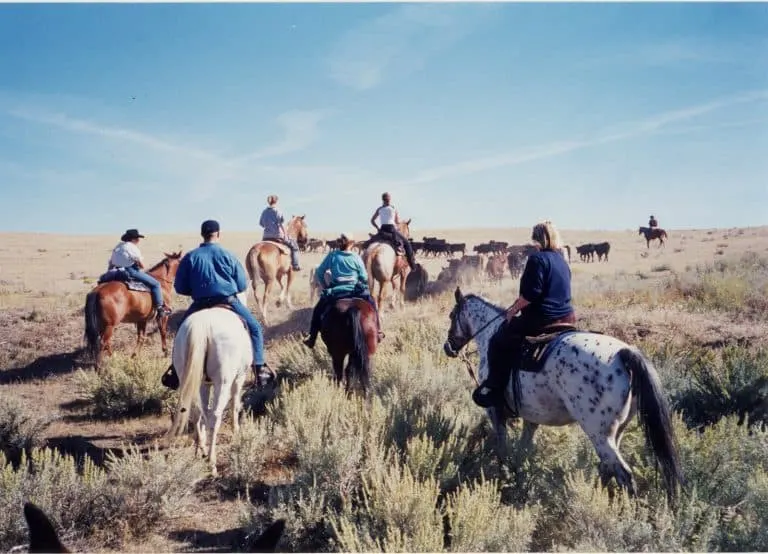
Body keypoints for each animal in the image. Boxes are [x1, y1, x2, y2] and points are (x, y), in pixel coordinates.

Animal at [166, 288, 254, 474]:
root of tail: (202, 326)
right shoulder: (239, 378)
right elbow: (235, 404)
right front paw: (236, 431)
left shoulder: (204, 384)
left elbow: (201, 412)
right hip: (223, 382)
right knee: (214, 416)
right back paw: (212, 463)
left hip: (191, 380)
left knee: (195, 412)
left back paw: (201, 449)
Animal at [440, 286, 688, 498]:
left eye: (452, 315)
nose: (448, 347)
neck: (489, 334)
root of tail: (624, 353)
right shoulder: (532, 418)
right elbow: (523, 450)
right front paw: (518, 476)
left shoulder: (494, 411)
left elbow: (503, 448)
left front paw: (503, 477)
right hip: (616, 432)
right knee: (607, 467)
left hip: (598, 433)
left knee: (623, 474)